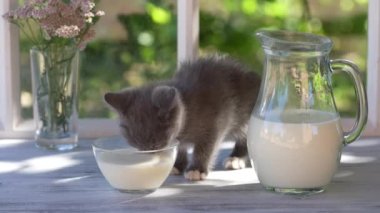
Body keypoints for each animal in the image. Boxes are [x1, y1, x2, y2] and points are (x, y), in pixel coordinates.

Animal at [105, 56, 262, 180]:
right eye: (138, 147)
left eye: (154, 146)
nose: (150, 157)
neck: (188, 107)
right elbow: (179, 147)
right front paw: (178, 165)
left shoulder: (216, 122)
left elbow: (206, 147)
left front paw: (196, 169)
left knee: (245, 138)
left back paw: (236, 158)